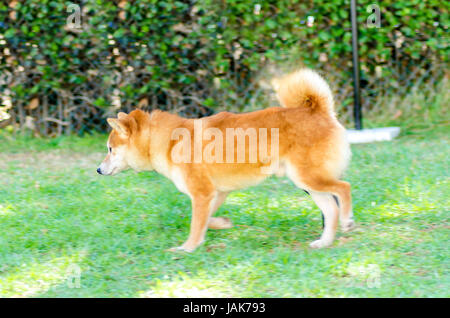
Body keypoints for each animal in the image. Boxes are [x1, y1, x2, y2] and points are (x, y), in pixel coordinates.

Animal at [98, 69, 356, 251]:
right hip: (306, 183)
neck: (170, 142)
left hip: (309, 177)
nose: (99, 170)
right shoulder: (216, 193)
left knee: (344, 188)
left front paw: (187, 248)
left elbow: (195, 225)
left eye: (110, 149)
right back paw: (324, 242)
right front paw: (222, 224)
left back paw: (347, 221)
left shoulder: (202, 193)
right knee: (331, 209)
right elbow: (206, 221)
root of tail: (319, 111)